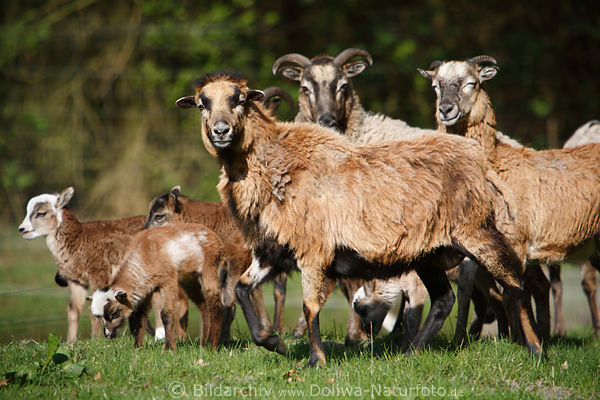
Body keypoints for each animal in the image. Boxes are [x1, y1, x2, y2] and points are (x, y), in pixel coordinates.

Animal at [91, 222, 230, 350]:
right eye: (99, 316)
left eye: (115, 313)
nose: (108, 335)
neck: (144, 254)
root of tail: (214, 237)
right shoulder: (146, 287)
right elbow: (140, 315)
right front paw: (138, 347)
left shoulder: (168, 281)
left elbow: (166, 314)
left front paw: (169, 348)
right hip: (190, 279)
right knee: (204, 306)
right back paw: (203, 344)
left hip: (209, 266)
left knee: (215, 303)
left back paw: (211, 346)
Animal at [176, 71, 540, 366]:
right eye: (202, 104)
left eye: (238, 100)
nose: (220, 130)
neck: (275, 164)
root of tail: (480, 161)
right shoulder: (273, 250)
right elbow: (242, 288)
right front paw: (273, 342)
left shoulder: (314, 250)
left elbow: (309, 307)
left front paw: (317, 360)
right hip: (429, 252)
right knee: (443, 300)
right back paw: (409, 353)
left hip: (476, 231)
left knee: (514, 282)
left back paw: (536, 349)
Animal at [420, 57, 600, 344]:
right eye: (435, 86)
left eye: (472, 83)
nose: (445, 109)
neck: (497, 162)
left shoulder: (514, 242)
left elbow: (511, 292)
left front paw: (524, 342)